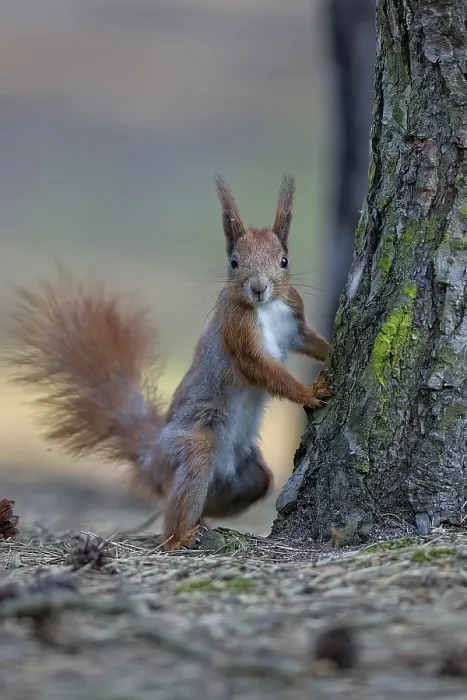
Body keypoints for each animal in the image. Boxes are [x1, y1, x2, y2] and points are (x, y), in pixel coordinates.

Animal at [8, 174, 332, 550]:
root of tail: (152, 457)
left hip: (247, 476)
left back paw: (204, 520)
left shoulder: (294, 322)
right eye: (234, 261)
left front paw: (328, 352)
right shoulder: (238, 337)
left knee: (237, 487)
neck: (267, 308)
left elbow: (309, 341)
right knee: (175, 508)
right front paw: (310, 393)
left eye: (283, 260)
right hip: (192, 448)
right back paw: (181, 536)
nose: (258, 287)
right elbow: (265, 371)